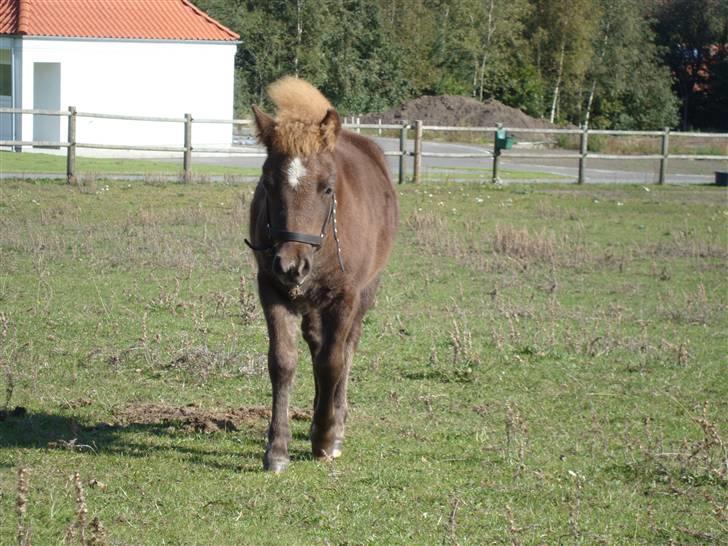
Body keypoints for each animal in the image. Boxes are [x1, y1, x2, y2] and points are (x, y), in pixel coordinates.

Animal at [246, 74, 398, 470]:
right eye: (267, 184)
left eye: (328, 188)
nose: (291, 264)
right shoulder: (271, 289)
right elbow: (283, 361)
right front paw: (277, 449)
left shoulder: (345, 297)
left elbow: (333, 361)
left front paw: (327, 439)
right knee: (316, 343)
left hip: (364, 292)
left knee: (345, 347)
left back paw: (334, 423)